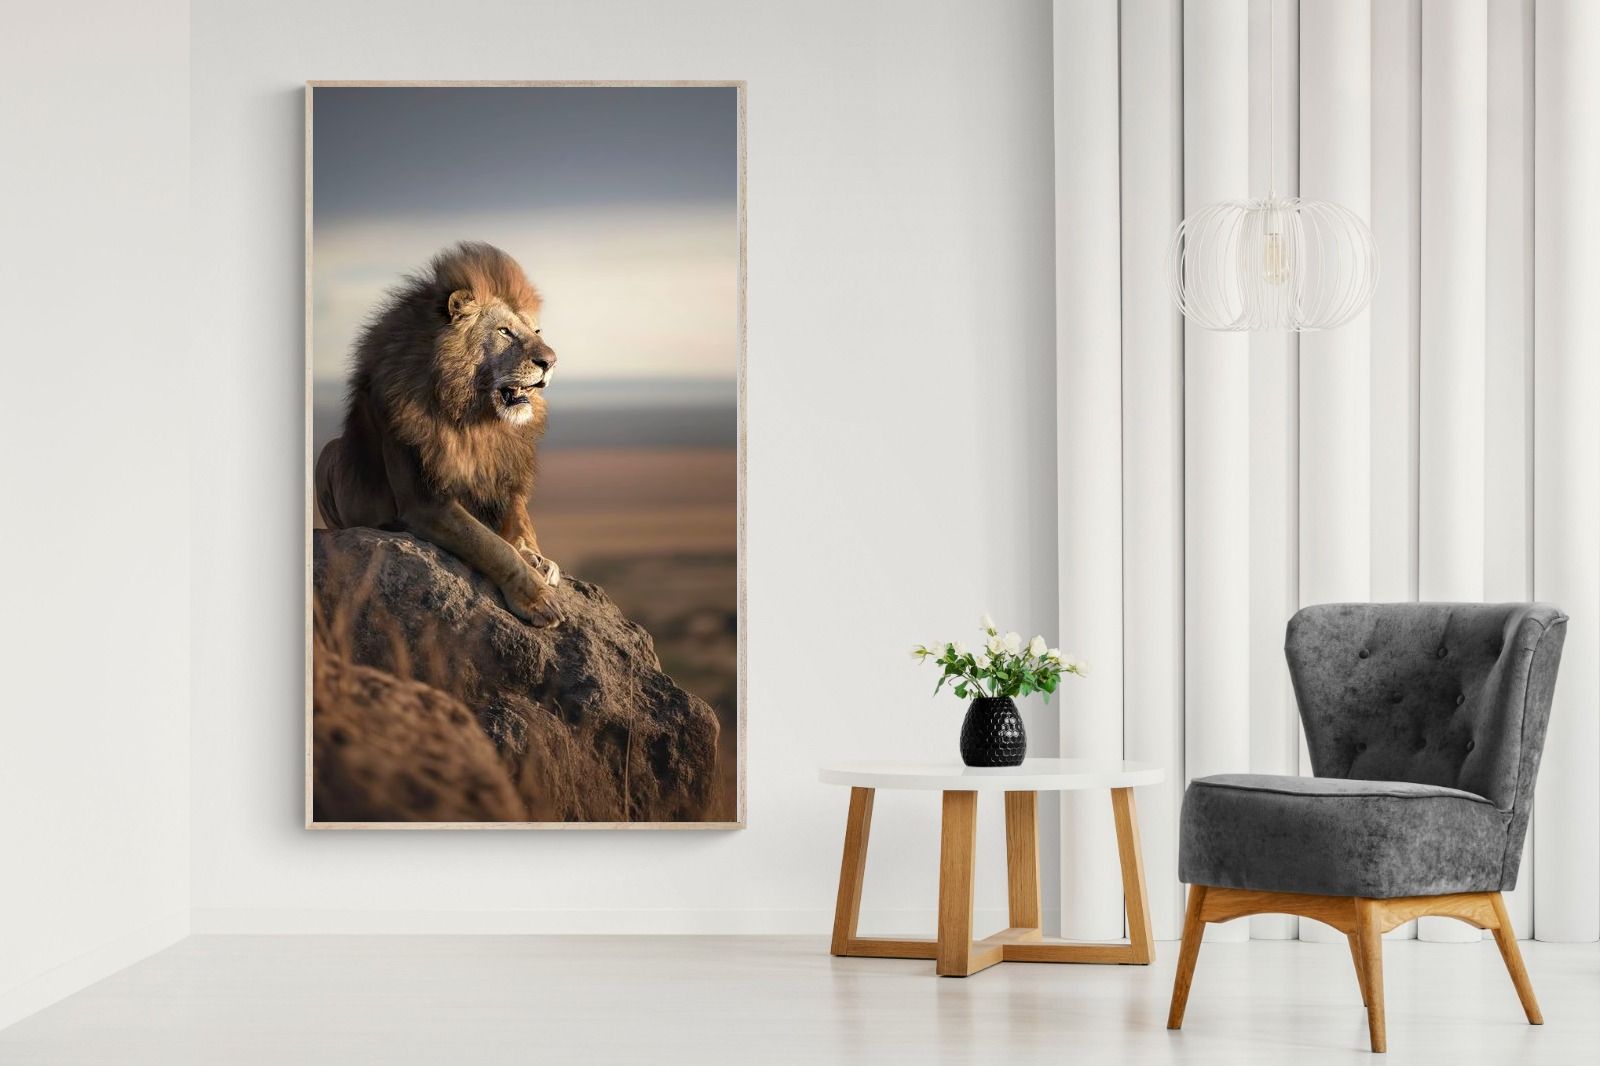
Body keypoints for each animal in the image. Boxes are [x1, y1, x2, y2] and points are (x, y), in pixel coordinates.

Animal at [315, 241, 564, 627]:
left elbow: (520, 523)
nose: (550, 361)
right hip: (327, 453)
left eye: (536, 333)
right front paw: (538, 598)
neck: (475, 417)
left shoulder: (504, 476)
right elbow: (491, 545)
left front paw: (537, 558)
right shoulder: (425, 502)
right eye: (504, 332)